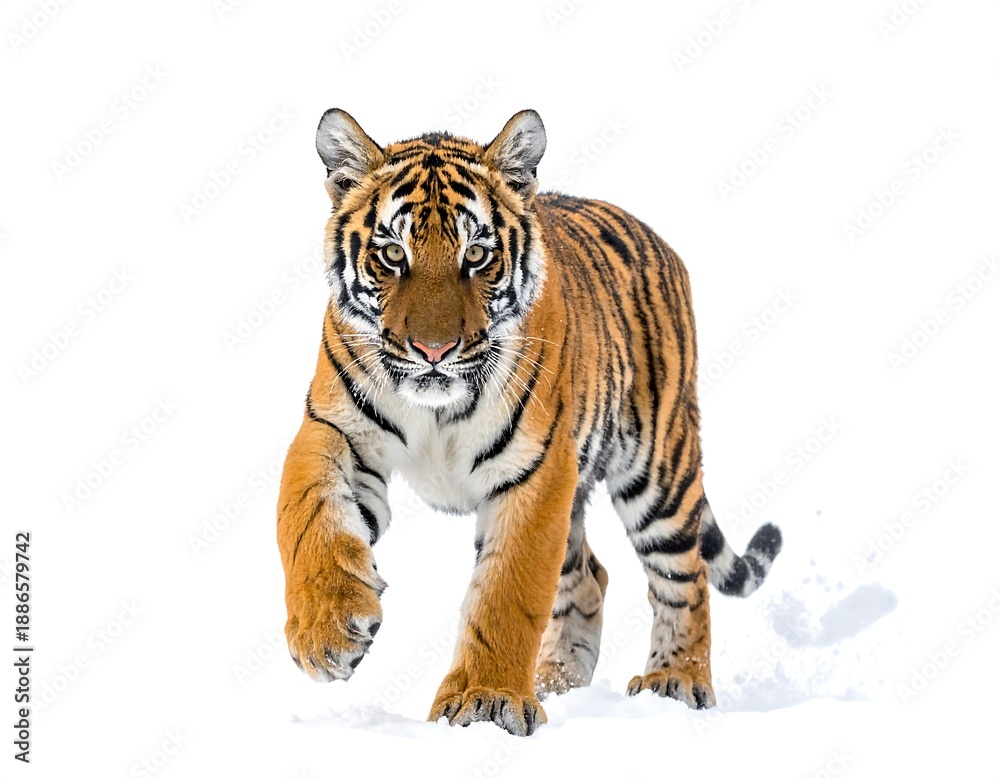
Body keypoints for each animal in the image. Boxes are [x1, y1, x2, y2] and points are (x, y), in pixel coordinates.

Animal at [276, 108, 783, 736]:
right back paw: (557, 681)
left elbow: (508, 591)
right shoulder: (335, 429)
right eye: (392, 255)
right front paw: (328, 632)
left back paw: (676, 682)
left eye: (476, 256)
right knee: (589, 576)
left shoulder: (536, 472)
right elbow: (307, 517)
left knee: (683, 577)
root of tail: (659, 240)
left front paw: (486, 700)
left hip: (657, 471)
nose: (434, 350)